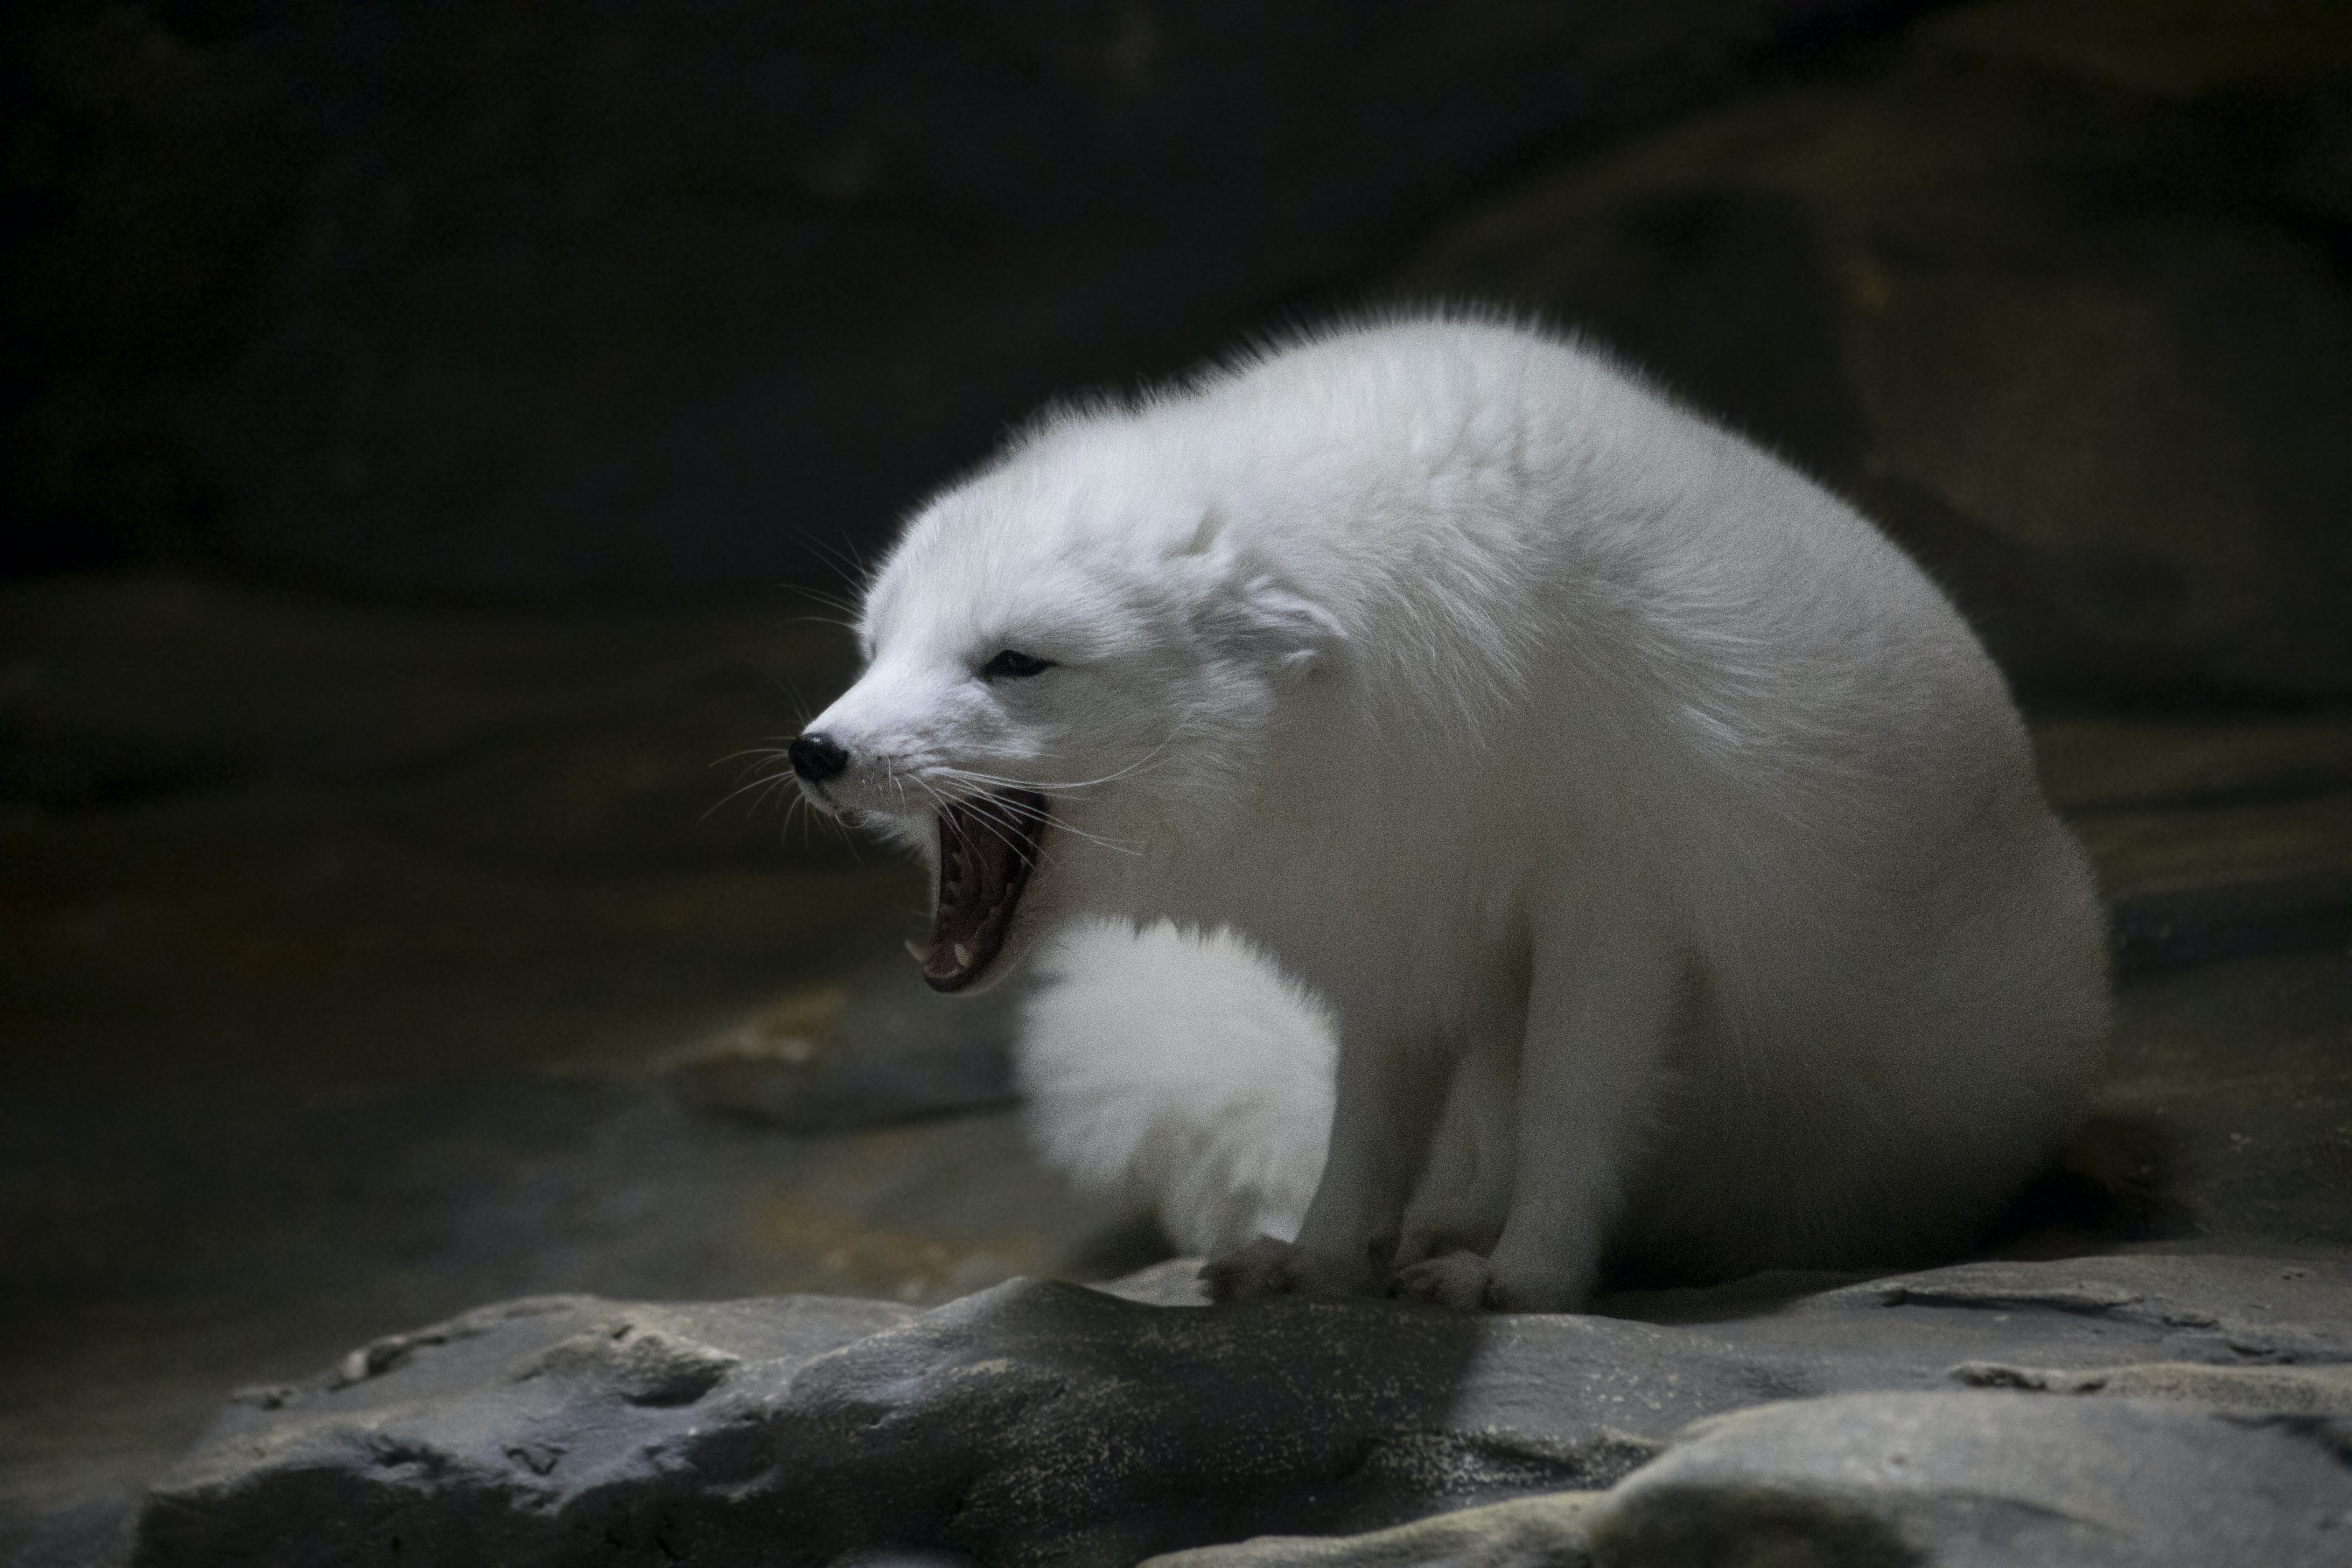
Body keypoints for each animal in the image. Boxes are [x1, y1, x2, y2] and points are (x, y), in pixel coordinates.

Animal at [795, 315, 2117, 1316]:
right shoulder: (1401, 922)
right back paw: (1442, 1222)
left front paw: (1528, 1280)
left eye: (1015, 663)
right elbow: (1367, 1127)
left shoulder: (1614, 901)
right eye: (876, 648)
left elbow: (1574, 1108)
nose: (815, 753)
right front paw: (1323, 1260)